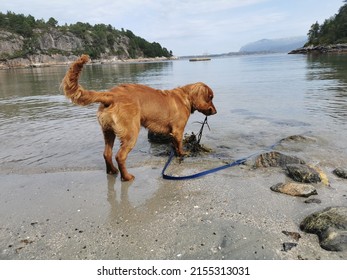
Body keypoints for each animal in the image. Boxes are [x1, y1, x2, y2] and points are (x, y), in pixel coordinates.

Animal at [61, 54, 216, 182]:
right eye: (210, 97)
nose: (215, 111)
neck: (185, 98)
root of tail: (110, 95)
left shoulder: (172, 132)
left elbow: (174, 144)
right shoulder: (178, 130)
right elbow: (179, 145)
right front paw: (183, 154)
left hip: (108, 131)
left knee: (107, 153)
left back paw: (112, 171)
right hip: (131, 132)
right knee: (120, 156)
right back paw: (126, 177)